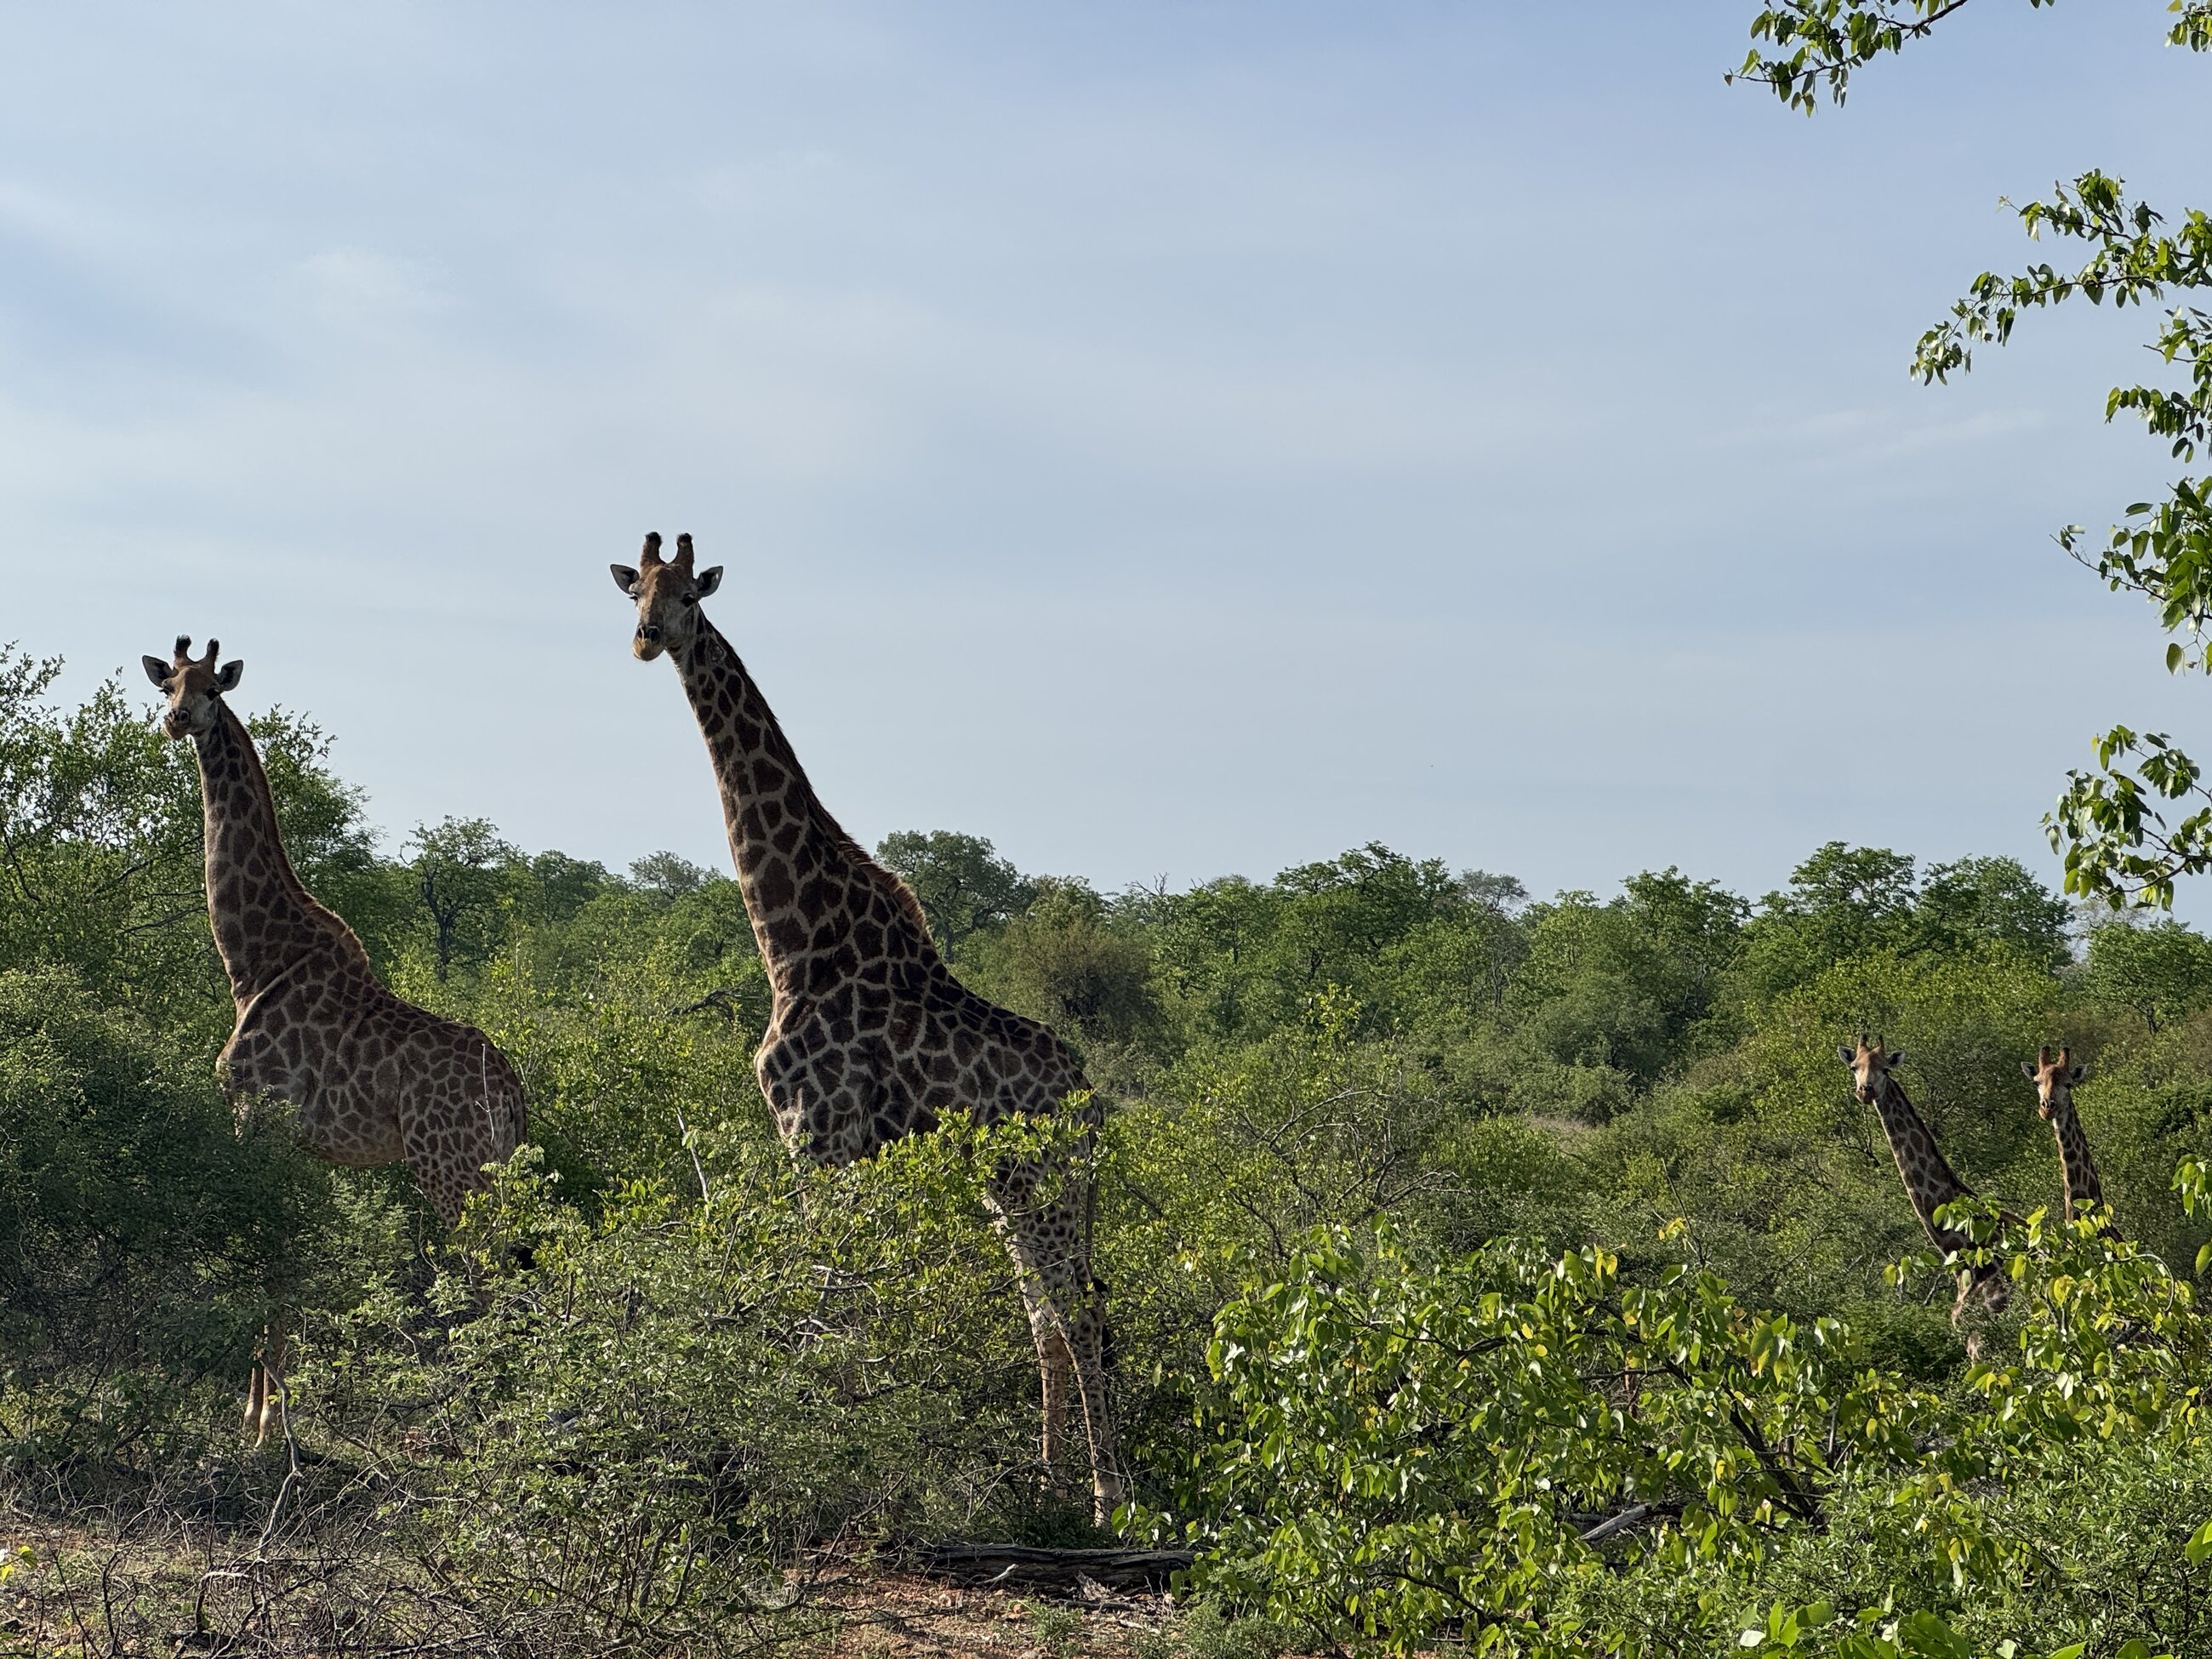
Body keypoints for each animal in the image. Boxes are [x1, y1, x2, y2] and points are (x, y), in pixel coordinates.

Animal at [143, 637, 527, 1440]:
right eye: (168, 684)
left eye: (211, 689)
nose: (177, 720)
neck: (253, 959)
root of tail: (514, 1093)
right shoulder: (299, 1141)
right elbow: (288, 1254)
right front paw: (270, 1411)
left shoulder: (254, 1113)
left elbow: (264, 1249)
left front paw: (257, 1424)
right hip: (489, 1167)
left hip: (449, 1168)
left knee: (489, 1270)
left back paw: (492, 1415)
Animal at [609, 532, 1123, 1523]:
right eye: (633, 592)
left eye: (691, 596)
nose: (648, 640)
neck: (791, 939)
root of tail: (1087, 1098)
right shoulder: (836, 1146)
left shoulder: (815, 1135)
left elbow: (829, 1300)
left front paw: (829, 1470)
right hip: (1011, 1186)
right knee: (1045, 1312)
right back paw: (1045, 1485)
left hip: (1042, 1183)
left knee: (1079, 1311)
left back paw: (1107, 1500)